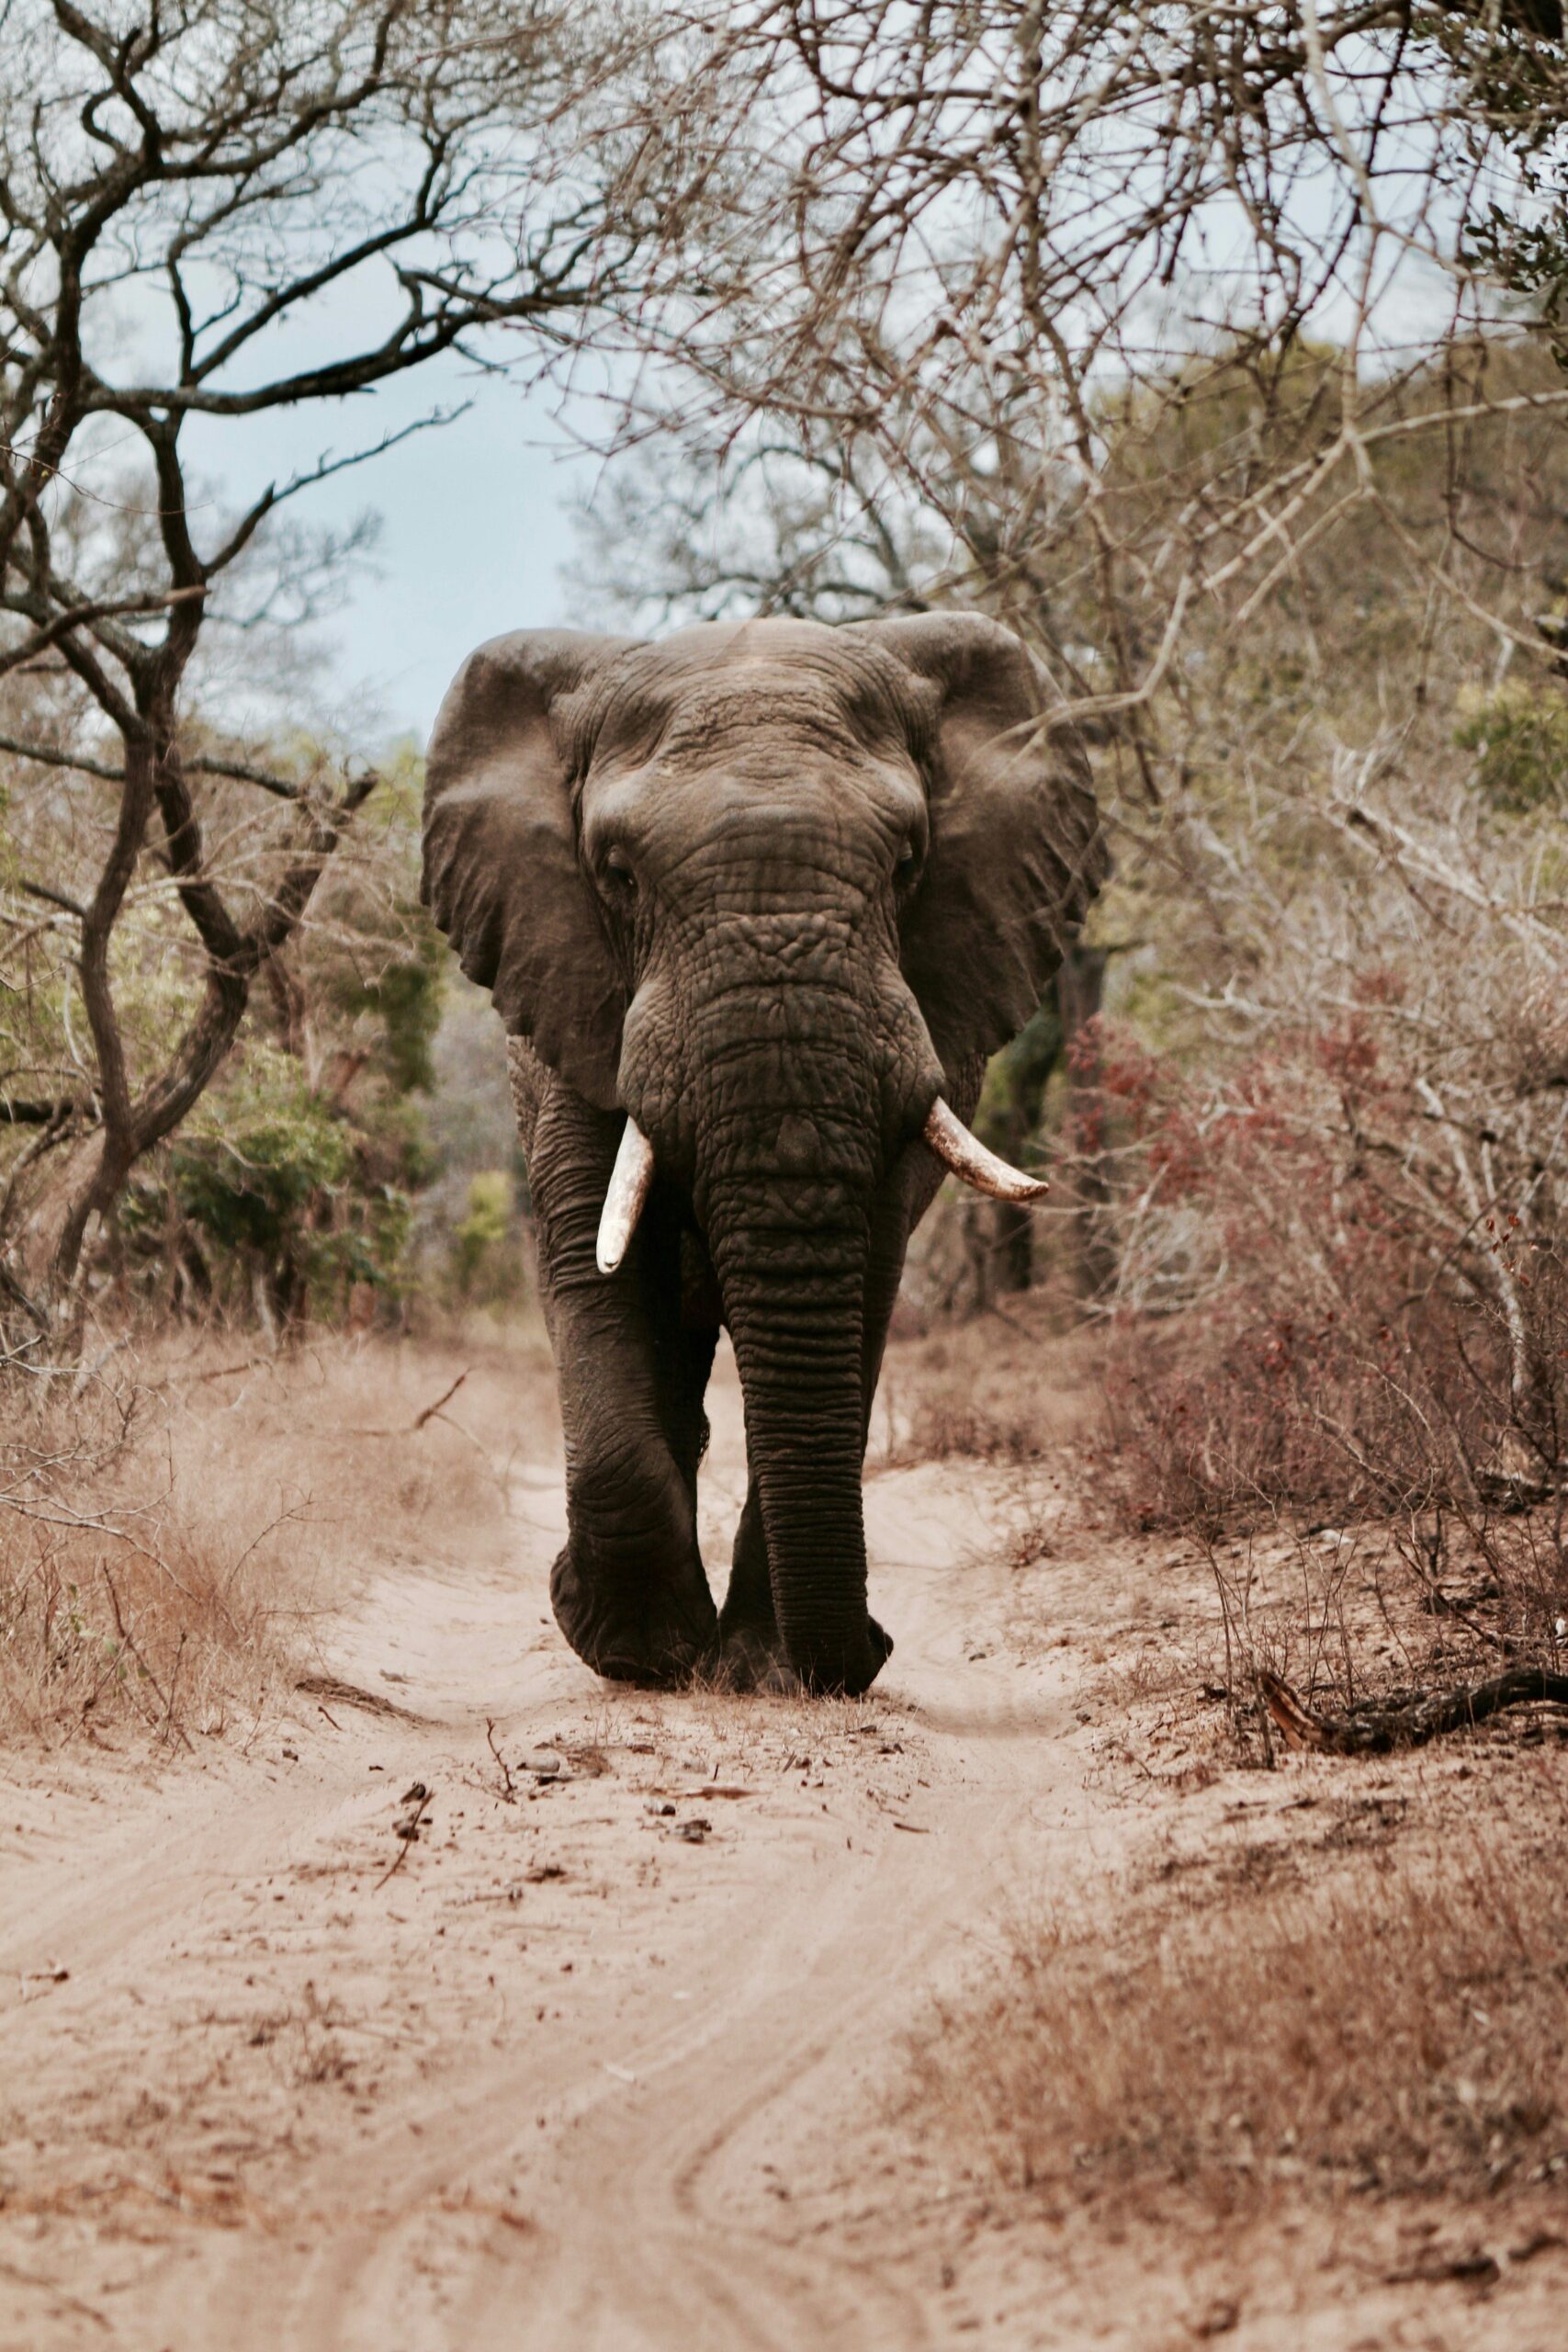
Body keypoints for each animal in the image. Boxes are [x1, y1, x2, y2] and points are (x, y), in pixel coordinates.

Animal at [415, 616, 1104, 1702]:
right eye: (617, 873)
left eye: (907, 863)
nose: (868, 1654)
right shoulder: (571, 997)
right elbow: (595, 1262)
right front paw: (638, 1654)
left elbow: (863, 1279)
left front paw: (759, 1668)